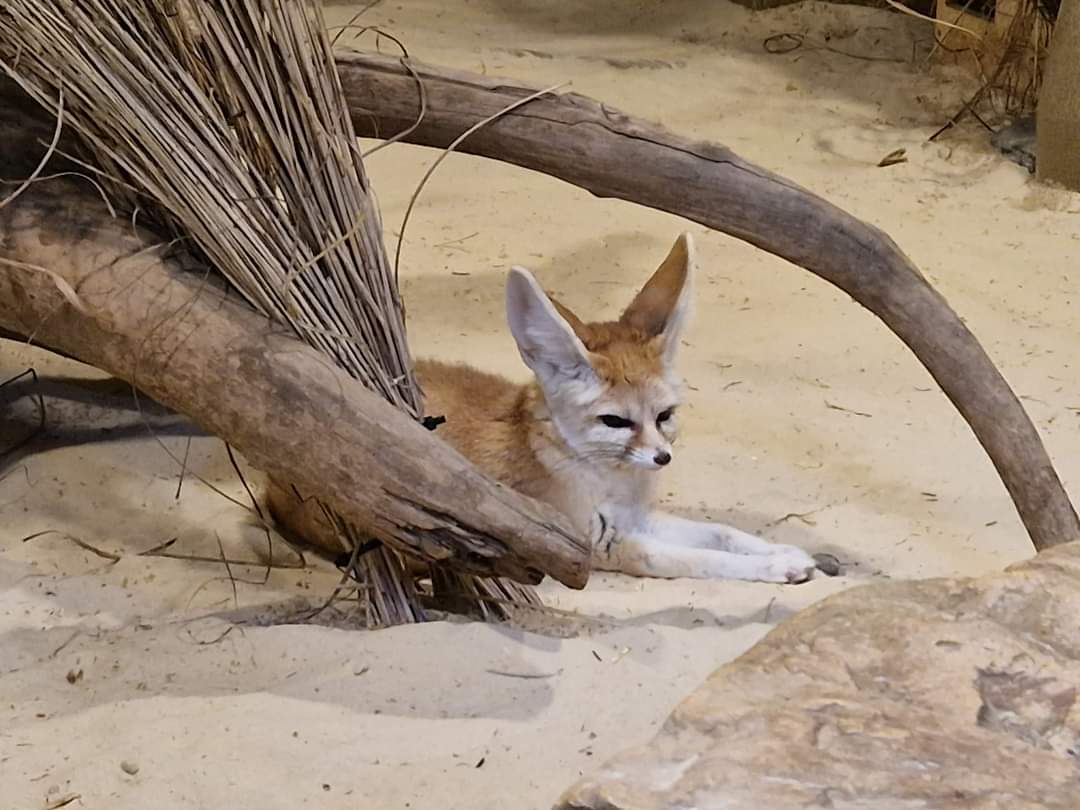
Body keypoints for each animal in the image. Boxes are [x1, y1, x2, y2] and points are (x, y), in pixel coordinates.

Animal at [267, 233, 818, 584]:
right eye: (615, 421)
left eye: (665, 416)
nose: (662, 458)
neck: (607, 480)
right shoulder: (599, 544)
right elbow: (702, 561)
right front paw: (774, 568)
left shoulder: (635, 519)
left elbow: (722, 533)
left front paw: (784, 550)